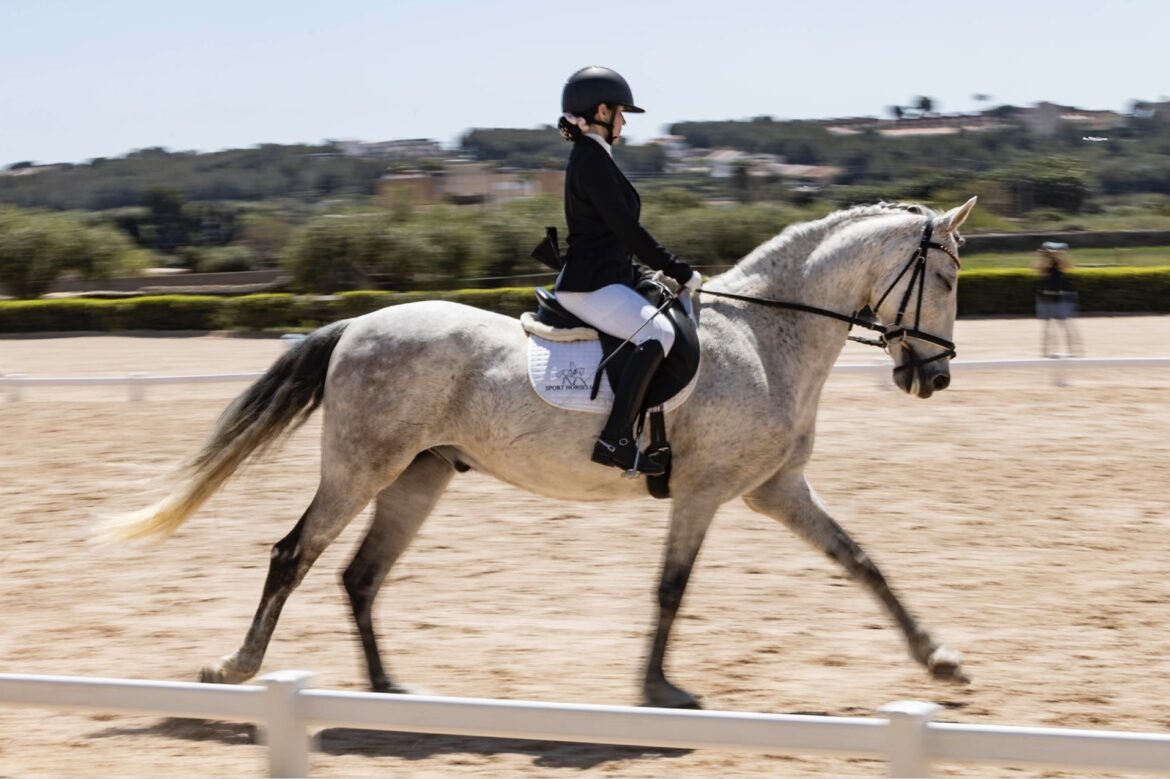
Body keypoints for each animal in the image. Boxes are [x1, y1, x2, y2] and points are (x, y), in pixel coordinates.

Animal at [102, 197, 977, 709]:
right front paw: (658, 687)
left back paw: (388, 687)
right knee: (295, 553)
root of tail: (355, 324)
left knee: (359, 575)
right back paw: (238, 669)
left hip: (417, 477)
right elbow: (671, 588)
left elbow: (862, 561)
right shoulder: (704, 493)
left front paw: (941, 660)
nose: (932, 376)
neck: (766, 336)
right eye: (944, 277)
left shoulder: (777, 487)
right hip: (360, 466)